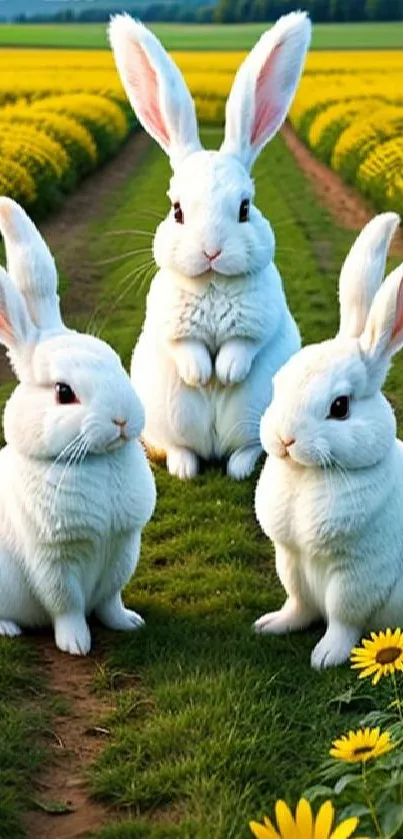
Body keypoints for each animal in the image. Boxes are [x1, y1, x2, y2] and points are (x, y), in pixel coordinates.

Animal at [0, 199, 156, 656]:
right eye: (64, 392)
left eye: (114, 360)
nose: (123, 419)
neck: (96, 462)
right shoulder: (54, 562)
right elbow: (66, 606)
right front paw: (76, 645)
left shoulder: (123, 549)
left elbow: (110, 600)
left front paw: (129, 623)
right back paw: (8, 629)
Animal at [109, 9, 310, 480]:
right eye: (177, 210)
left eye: (244, 208)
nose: (211, 251)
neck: (214, 282)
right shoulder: (169, 320)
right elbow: (186, 347)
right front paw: (202, 375)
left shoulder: (261, 317)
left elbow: (244, 344)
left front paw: (228, 372)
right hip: (166, 422)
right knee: (178, 448)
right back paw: (185, 468)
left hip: (256, 422)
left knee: (247, 449)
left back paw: (237, 468)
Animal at [254, 213, 403, 672]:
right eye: (279, 381)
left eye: (340, 407)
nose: (284, 439)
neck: (308, 475)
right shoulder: (291, 560)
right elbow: (299, 604)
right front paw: (272, 625)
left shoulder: (357, 575)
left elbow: (341, 619)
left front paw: (326, 657)